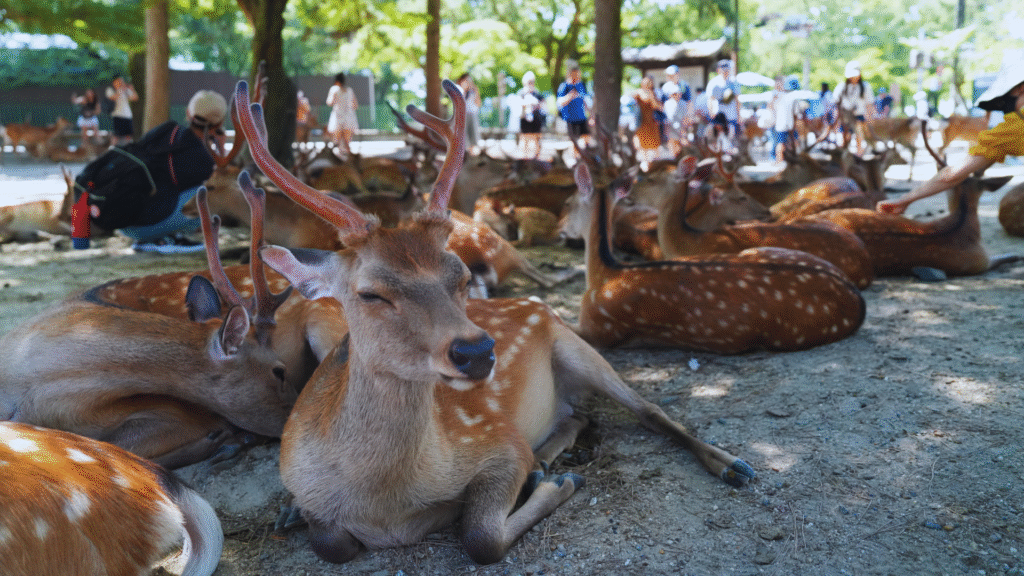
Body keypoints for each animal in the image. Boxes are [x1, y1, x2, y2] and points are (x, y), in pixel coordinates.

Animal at [235, 78, 756, 565]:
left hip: (577, 346)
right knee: (579, 415)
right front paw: (293, 512)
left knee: (649, 412)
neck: (385, 505)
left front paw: (557, 484)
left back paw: (732, 465)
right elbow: (331, 542)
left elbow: (481, 535)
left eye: (463, 276)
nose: (477, 351)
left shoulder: (499, 441)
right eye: (370, 293)